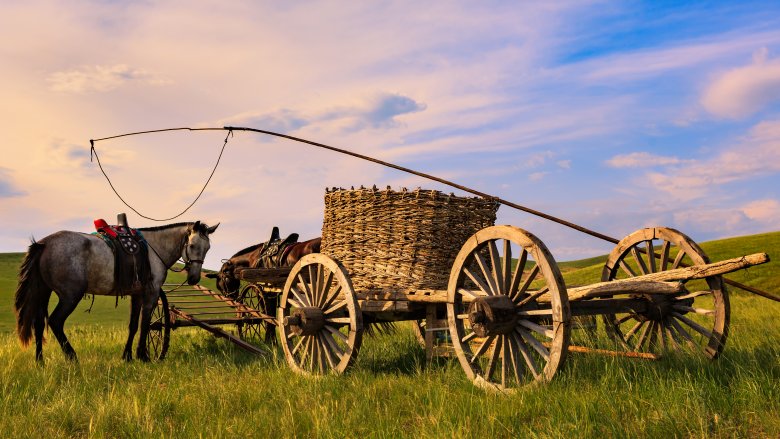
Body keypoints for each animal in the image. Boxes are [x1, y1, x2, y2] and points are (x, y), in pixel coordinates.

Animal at [13, 222, 219, 362]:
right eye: (192, 246)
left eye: (208, 248)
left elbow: (133, 325)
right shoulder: (151, 293)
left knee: (39, 324)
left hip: (43, 292)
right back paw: (72, 357)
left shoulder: (136, 294)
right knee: (55, 322)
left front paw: (127, 356)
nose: (194, 278)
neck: (153, 249)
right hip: (70, 296)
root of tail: (44, 243)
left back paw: (40, 361)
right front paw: (143, 355)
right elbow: (145, 324)